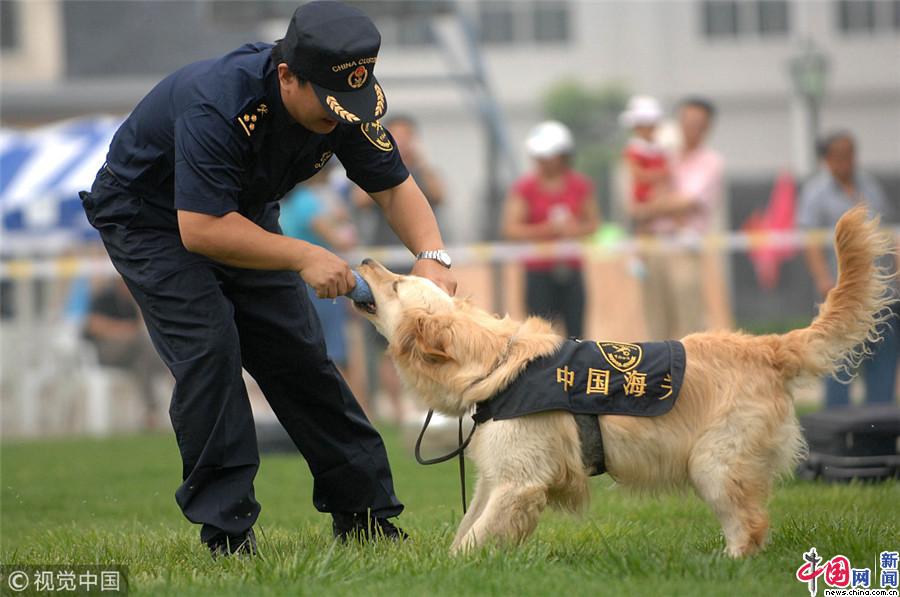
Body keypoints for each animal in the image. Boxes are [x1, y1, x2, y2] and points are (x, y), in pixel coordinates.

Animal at [352, 206, 892, 560]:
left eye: (396, 283)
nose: (363, 260)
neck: (492, 363)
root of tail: (767, 347)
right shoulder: (496, 477)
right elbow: (467, 529)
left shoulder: (520, 481)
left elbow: (474, 541)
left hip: (715, 463)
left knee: (751, 526)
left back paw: (727, 563)